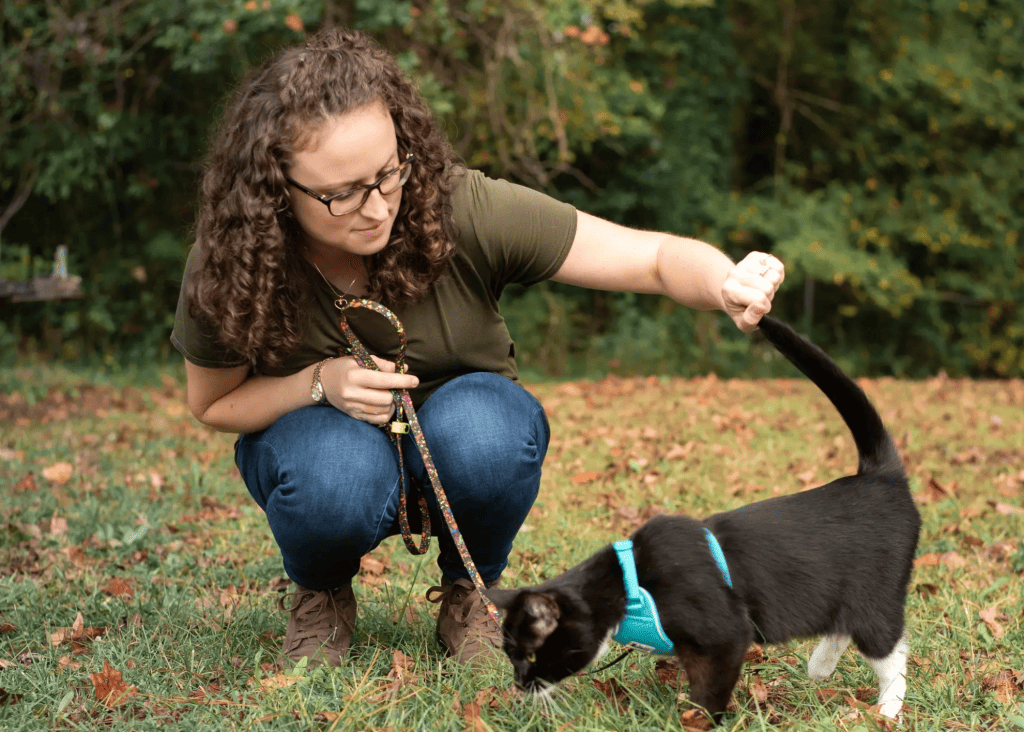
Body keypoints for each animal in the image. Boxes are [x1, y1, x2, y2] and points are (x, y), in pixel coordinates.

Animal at [483, 317, 925, 724]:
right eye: (509, 653)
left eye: (530, 655)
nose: (519, 683)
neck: (631, 580)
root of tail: (880, 474)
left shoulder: (724, 635)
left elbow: (710, 689)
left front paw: (696, 720)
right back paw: (821, 665)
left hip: (875, 596)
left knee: (891, 651)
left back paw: (886, 710)